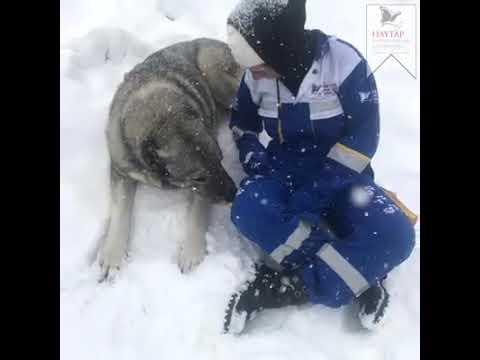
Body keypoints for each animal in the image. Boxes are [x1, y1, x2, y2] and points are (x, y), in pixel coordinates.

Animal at [97, 38, 242, 280]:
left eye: (221, 159)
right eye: (199, 177)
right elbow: (120, 211)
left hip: (213, 69)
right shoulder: (120, 170)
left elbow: (197, 214)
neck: (160, 115)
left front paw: (191, 251)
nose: (233, 194)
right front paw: (113, 254)